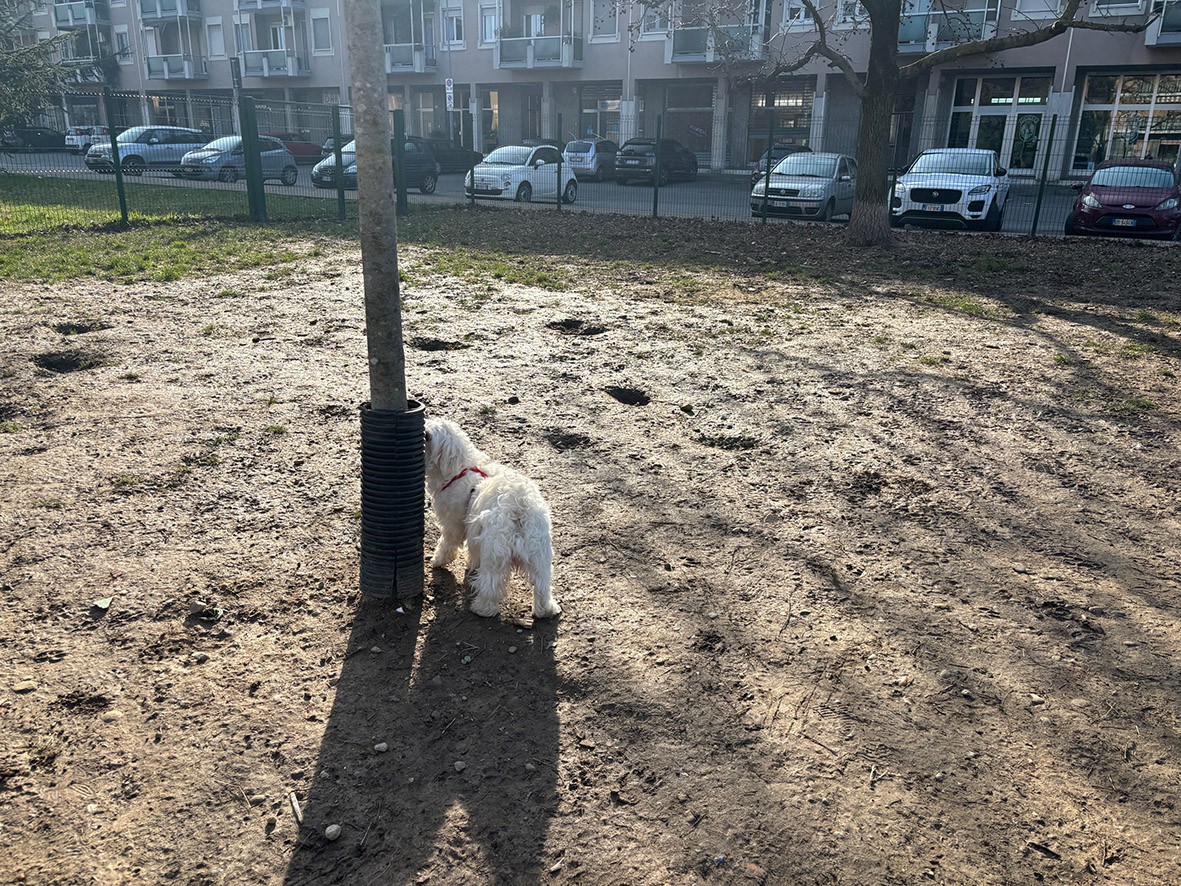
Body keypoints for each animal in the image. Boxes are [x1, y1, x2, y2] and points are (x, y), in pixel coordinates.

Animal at [422, 418, 559, 619]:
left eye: (428, 436)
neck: (460, 468)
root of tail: (520, 505)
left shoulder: (454, 524)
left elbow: (447, 544)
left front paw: (438, 560)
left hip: (494, 553)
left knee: (490, 585)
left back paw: (482, 609)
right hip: (539, 555)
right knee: (542, 586)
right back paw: (546, 610)